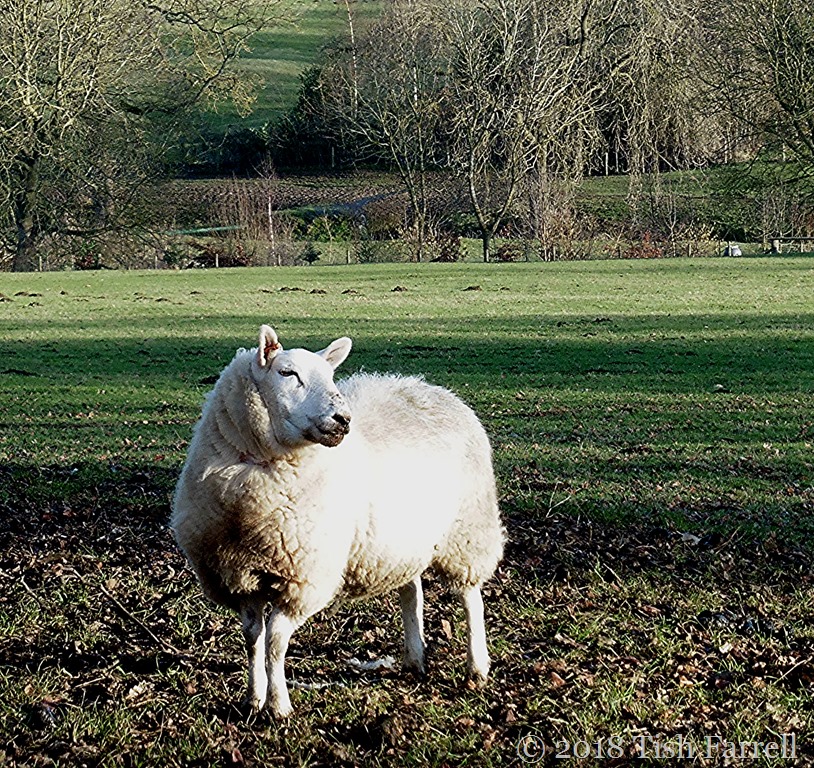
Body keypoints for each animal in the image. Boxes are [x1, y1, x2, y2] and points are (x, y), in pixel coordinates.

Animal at [170, 325, 504, 717]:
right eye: (287, 373)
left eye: (330, 377)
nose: (343, 419)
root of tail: (431, 389)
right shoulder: (241, 578)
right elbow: (253, 640)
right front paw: (254, 699)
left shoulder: (302, 580)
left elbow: (275, 643)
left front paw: (279, 706)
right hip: (401, 541)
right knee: (411, 591)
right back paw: (414, 657)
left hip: (467, 531)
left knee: (470, 597)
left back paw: (477, 667)